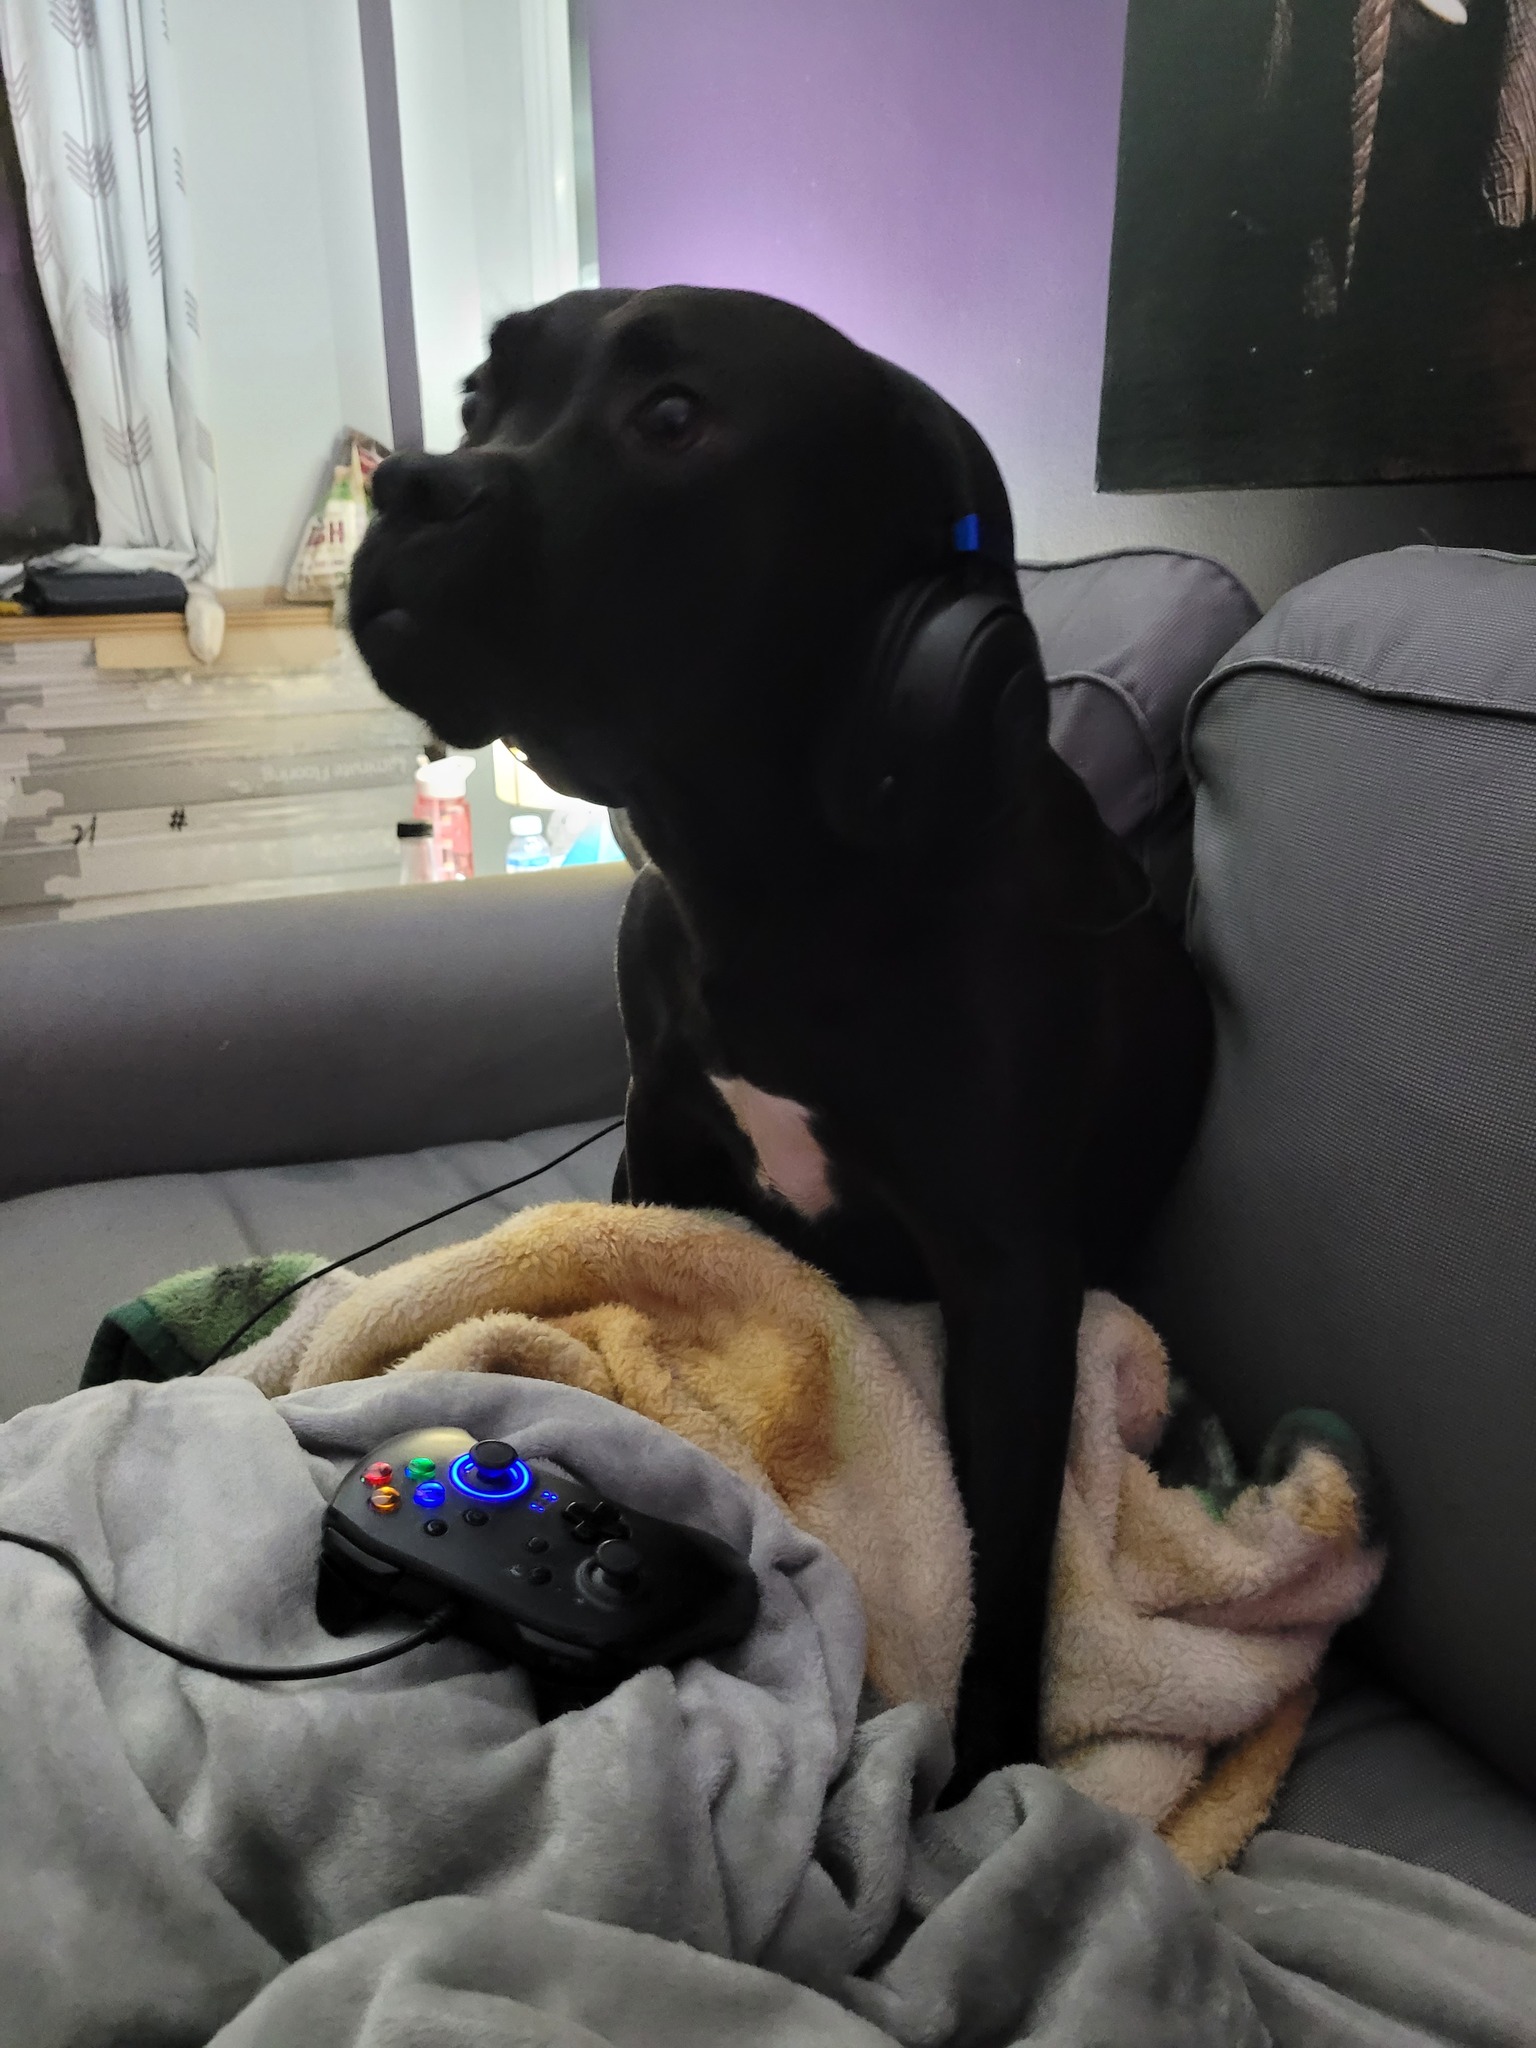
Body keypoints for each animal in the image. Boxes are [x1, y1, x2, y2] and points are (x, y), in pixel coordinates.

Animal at [348, 286, 1213, 1793]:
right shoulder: (659, 1142)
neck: (769, 883)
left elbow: (1009, 1559)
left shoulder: (1011, 1284)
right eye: (473, 399)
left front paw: (985, 1777)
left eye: (675, 416)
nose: (406, 483)